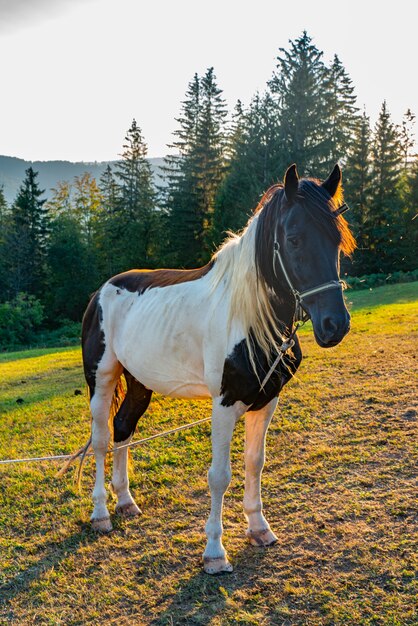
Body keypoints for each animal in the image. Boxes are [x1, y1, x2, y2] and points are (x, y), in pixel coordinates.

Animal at [81, 163, 356, 572]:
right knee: (101, 439)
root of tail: (102, 290)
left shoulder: (266, 401)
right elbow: (219, 476)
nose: (334, 325)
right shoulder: (224, 404)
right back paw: (101, 513)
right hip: (101, 381)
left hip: (140, 383)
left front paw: (259, 529)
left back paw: (126, 502)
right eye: (293, 239)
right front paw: (214, 552)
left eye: (337, 240)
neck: (249, 317)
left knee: (123, 427)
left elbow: (255, 463)